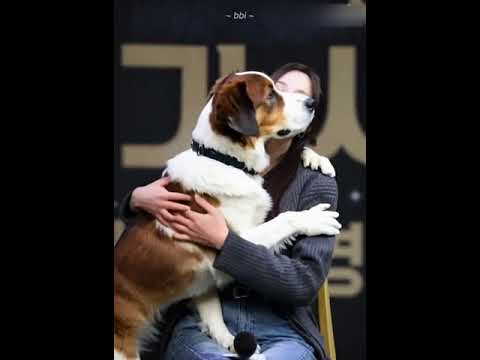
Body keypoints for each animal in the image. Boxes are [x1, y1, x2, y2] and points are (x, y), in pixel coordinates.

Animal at [114, 71, 340, 358]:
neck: (224, 159)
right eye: (270, 94)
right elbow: (283, 219)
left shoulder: (208, 277)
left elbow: (214, 316)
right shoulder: (232, 242)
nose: (311, 103)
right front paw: (312, 218)